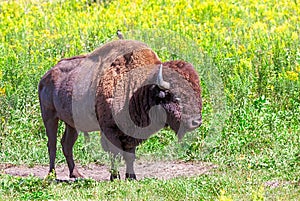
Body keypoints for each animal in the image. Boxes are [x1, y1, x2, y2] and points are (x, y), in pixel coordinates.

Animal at [37, 39, 202, 181]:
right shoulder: (110, 130)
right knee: (52, 144)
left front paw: (131, 177)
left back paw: (77, 174)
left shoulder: (132, 133)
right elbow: (115, 154)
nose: (196, 122)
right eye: (174, 96)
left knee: (67, 144)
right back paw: (51, 175)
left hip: (71, 124)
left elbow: (130, 155)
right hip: (50, 117)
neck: (139, 87)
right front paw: (115, 177)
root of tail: (47, 75)